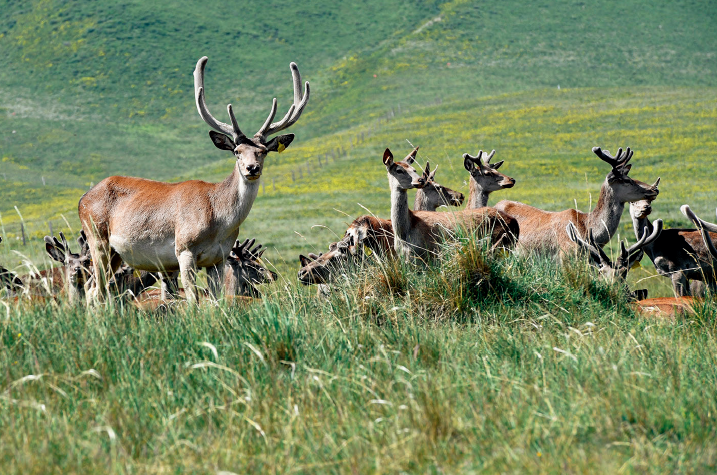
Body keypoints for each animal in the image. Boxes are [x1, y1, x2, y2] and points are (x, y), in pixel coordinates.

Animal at [79, 55, 310, 304]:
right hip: (97, 238)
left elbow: (217, 300)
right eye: (236, 151)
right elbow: (192, 299)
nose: (252, 168)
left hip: (115, 254)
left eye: (263, 151)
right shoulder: (184, 249)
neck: (219, 221)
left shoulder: (218, 258)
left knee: (95, 288)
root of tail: (82, 200)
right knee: (95, 290)